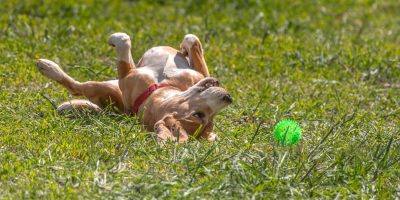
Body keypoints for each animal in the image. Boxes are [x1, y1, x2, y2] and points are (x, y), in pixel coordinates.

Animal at [37, 32, 233, 142]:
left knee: (77, 87)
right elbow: (192, 39)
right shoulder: (199, 74)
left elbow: (124, 40)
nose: (228, 98)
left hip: (106, 88)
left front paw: (114, 38)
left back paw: (48, 67)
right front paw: (185, 47)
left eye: (202, 116)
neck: (161, 87)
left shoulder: (126, 73)